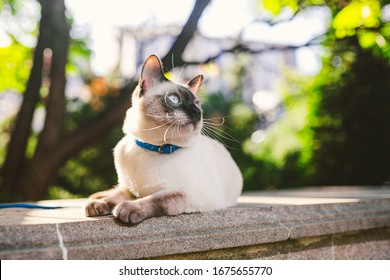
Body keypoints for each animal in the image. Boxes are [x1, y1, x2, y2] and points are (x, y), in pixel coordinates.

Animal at [84, 55, 242, 225]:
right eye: (174, 99)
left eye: (197, 104)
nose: (197, 112)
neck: (155, 146)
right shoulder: (131, 190)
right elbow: (114, 198)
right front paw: (98, 205)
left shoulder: (194, 193)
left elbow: (158, 198)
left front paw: (126, 208)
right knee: (114, 190)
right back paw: (95, 198)